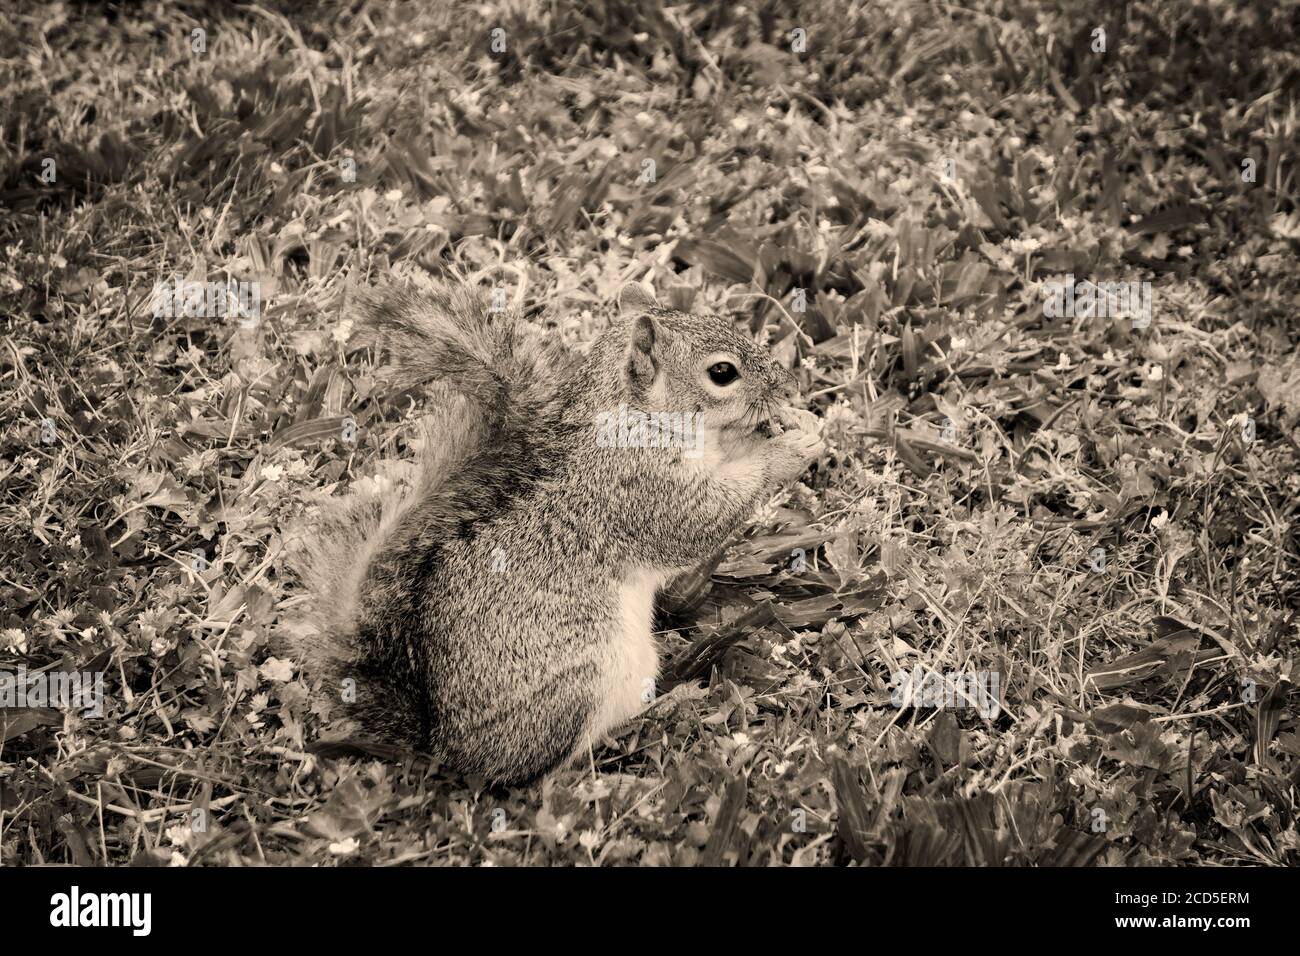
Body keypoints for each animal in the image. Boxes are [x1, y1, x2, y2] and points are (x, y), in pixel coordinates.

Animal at [285, 280, 824, 785]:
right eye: (722, 373)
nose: (787, 386)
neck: (637, 417)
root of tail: (444, 746)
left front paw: (798, 422)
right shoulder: (637, 488)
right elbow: (699, 520)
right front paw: (790, 450)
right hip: (579, 680)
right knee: (552, 767)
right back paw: (660, 714)